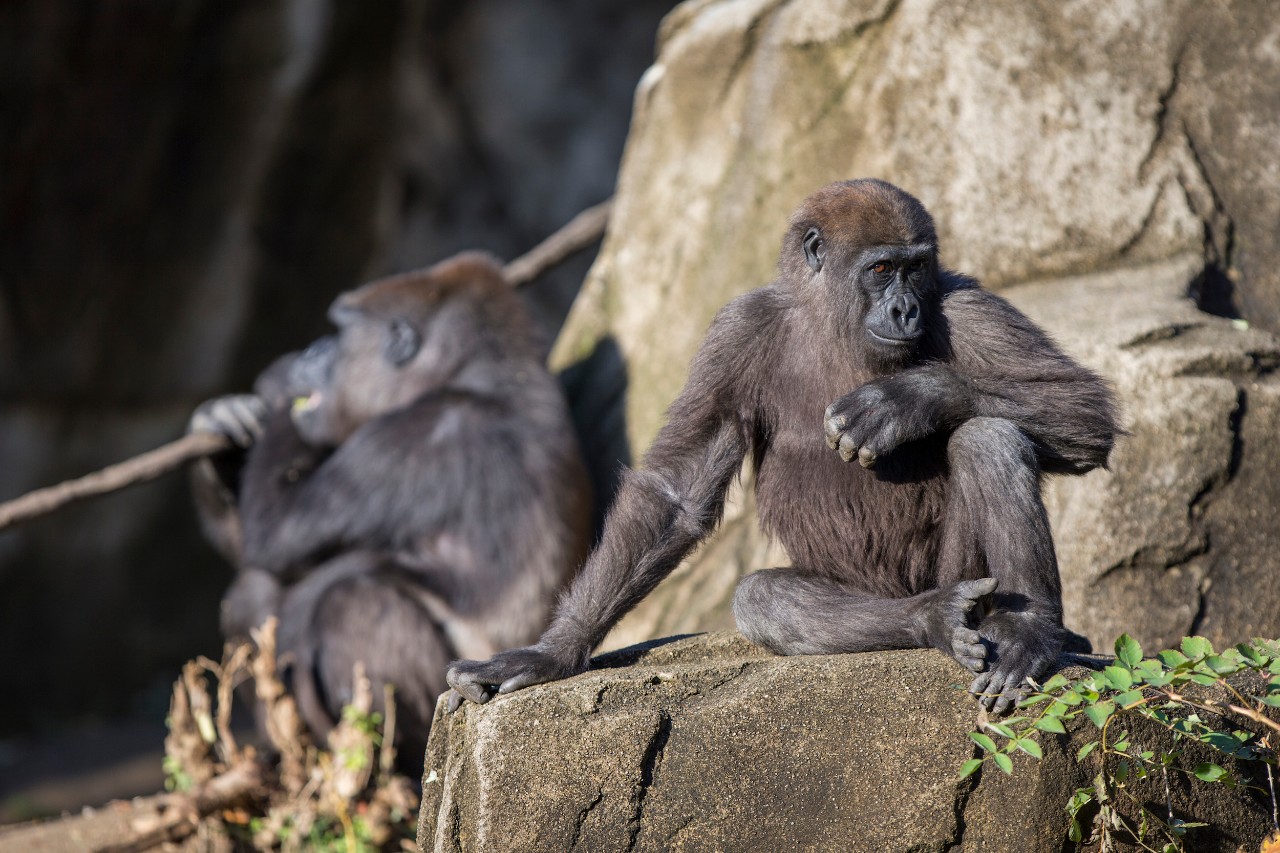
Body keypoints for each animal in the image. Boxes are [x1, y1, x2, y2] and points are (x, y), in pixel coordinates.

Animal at [189, 252, 593, 765]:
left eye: (341, 333)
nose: (312, 351)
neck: (488, 372)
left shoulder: (411, 435)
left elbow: (275, 536)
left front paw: (277, 385)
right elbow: (259, 553)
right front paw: (218, 425)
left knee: (352, 600)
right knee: (252, 593)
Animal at [446, 180, 1118, 715]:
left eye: (917, 268)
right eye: (881, 270)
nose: (906, 309)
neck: (830, 316)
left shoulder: (964, 302)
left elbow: (1082, 413)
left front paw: (906, 399)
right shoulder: (734, 331)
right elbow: (676, 494)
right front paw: (552, 652)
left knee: (989, 435)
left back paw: (1029, 632)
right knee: (766, 598)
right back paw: (932, 618)